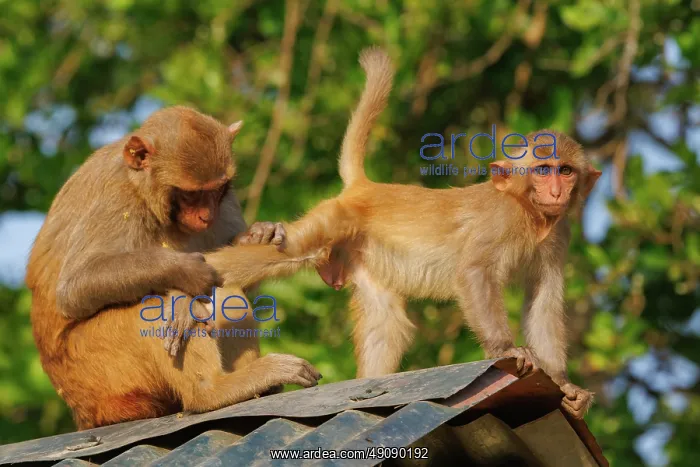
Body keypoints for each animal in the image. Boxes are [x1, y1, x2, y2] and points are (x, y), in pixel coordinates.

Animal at [25, 106, 321, 430]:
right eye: (191, 194)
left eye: (217, 190)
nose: (206, 216)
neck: (142, 190)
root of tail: (83, 414)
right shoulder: (115, 197)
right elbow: (75, 287)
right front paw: (184, 272)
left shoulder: (227, 200)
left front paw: (259, 233)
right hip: (100, 376)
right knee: (155, 303)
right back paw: (210, 391)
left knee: (223, 292)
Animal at [204, 47, 602, 419]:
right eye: (543, 169)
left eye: (566, 170)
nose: (557, 192)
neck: (531, 217)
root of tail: (365, 187)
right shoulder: (500, 221)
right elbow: (475, 272)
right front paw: (507, 348)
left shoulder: (559, 234)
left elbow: (544, 297)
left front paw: (564, 384)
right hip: (335, 219)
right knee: (290, 250)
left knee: (386, 321)